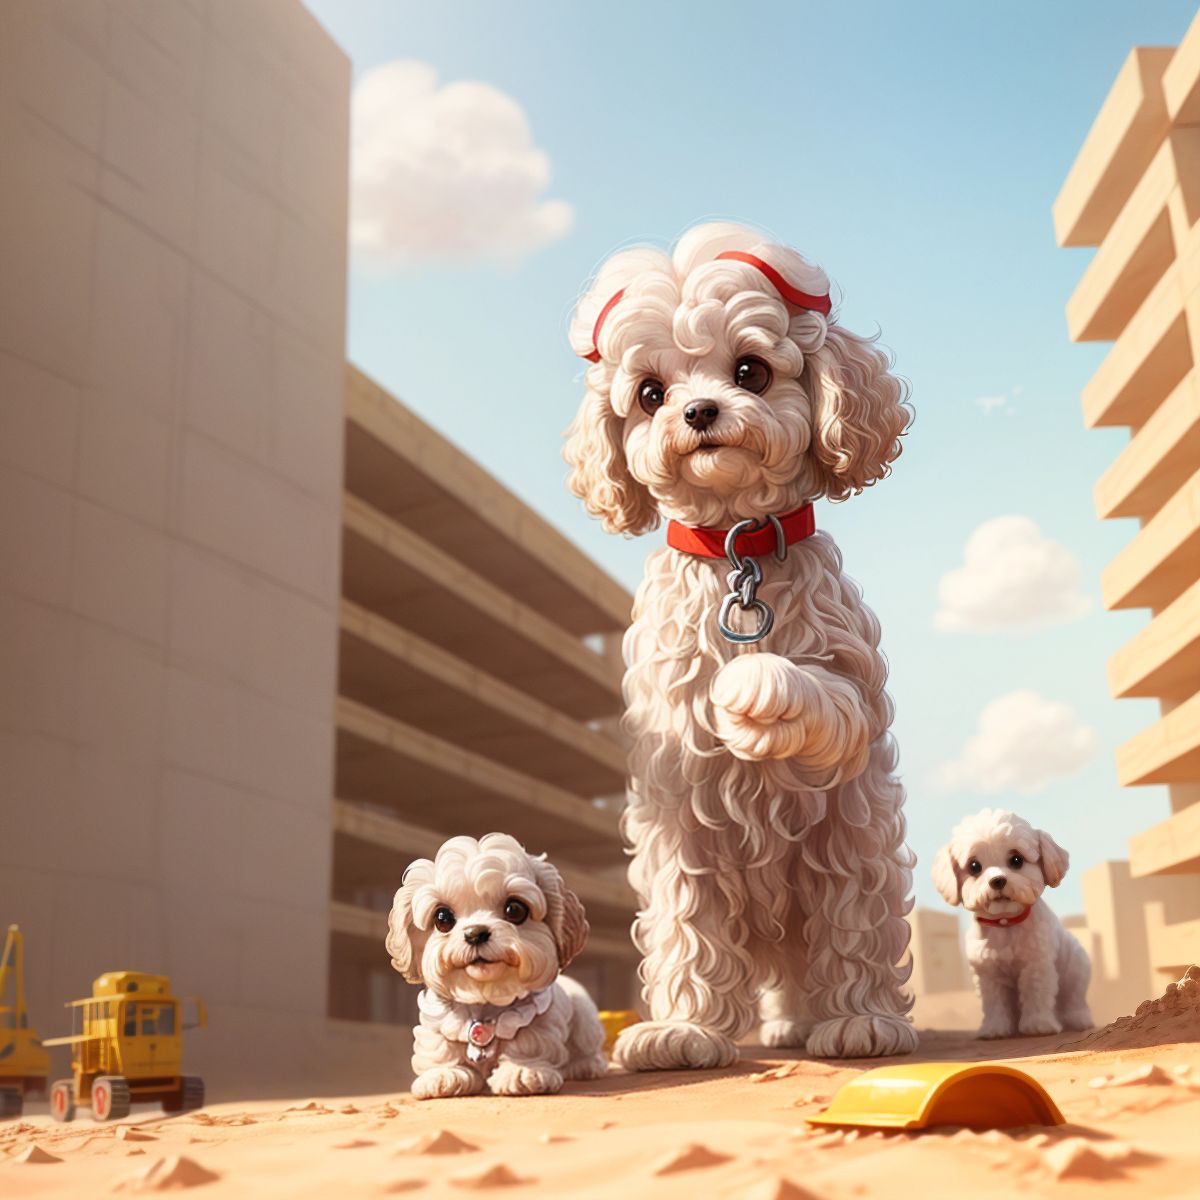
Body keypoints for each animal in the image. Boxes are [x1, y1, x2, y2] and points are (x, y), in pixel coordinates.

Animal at [386, 835, 609, 1099]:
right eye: (442, 918)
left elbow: (530, 1040)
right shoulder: (437, 1021)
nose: (475, 933)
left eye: (515, 909)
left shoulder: (537, 1017)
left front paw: (523, 1070)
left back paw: (585, 1065)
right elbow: (438, 1045)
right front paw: (444, 1074)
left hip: (585, 1018)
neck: (486, 1000)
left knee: (586, 1044)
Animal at [931, 806, 1094, 1041]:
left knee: (1073, 997)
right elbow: (994, 1002)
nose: (997, 880)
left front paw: (1038, 1025)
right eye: (974, 866)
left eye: (1016, 860)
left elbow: (1036, 992)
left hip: (1076, 967)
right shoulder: (988, 972)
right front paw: (995, 1028)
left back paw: (1078, 1019)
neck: (1005, 922)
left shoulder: (1036, 964)